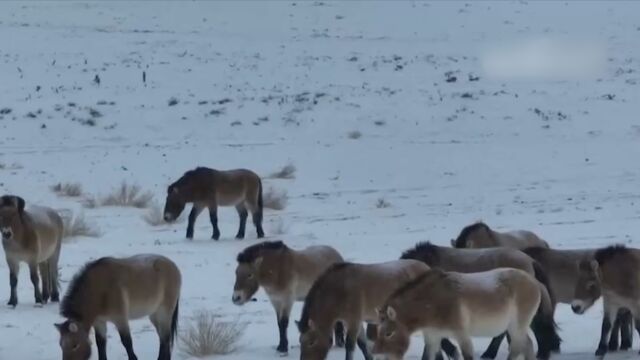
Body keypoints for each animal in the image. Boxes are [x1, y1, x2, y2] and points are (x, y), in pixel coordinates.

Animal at [296, 260, 430, 360]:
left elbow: (350, 346)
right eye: (300, 341)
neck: (339, 290)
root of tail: (427, 268)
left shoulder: (353, 320)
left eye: (311, 342)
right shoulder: (356, 322)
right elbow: (363, 344)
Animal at [370, 268, 556, 360]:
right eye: (377, 331)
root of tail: (535, 282)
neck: (433, 302)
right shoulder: (433, 337)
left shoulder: (462, 336)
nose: (377, 354)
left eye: (389, 333)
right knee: (528, 346)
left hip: (517, 326)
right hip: (515, 328)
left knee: (518, 348)